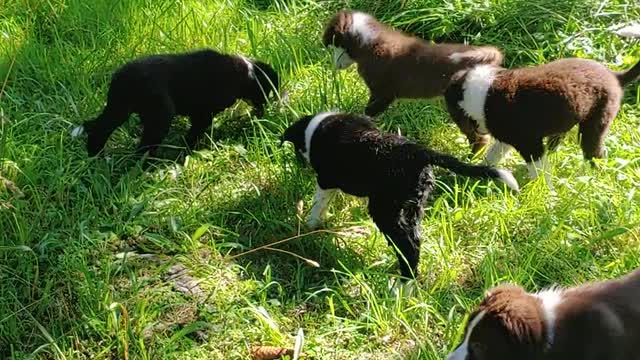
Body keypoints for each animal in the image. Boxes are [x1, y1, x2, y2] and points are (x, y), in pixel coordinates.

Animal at [72, 48, 278, 159]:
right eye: (268, 88)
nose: (266, 107)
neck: (246, 73)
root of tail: (124, 77)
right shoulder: (203, 113)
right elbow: (194, 133)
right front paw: (186, 150)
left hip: (119, 107)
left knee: (96, 127)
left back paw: (96, 156)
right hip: (159, 115)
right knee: (142, 146)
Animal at [282, 112, 516, 286]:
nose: (299, 164)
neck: (315, 129)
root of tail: (421, 152)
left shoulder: (325, 179)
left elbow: (319, 203)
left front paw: (309, 225)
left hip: (385, 209)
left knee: (407, 246)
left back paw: (402, 284)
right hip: (413, 206)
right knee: (416, 240)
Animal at [444, 27, 640, 187]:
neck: (481, 94)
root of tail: (615, 76)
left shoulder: (529, 143)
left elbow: (539, 172)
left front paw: (545, 194)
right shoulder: (507, 137)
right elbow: (493, 155)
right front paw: (478, 175)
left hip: (596, 121)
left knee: (595, 153)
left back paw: (588, 178)